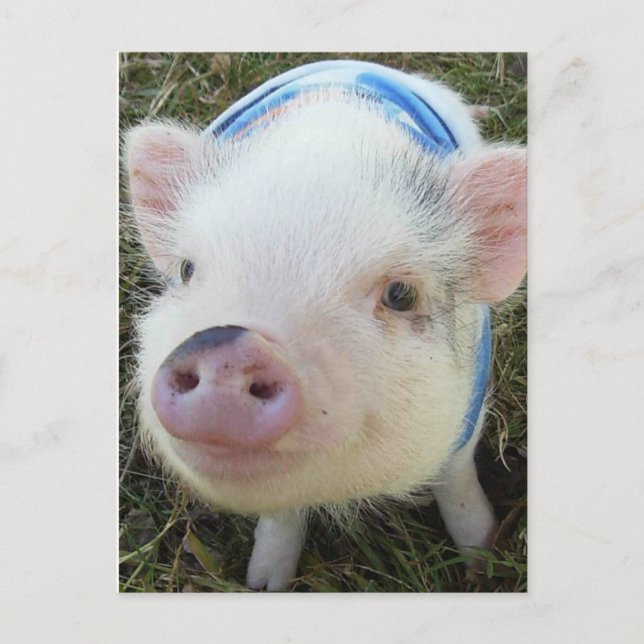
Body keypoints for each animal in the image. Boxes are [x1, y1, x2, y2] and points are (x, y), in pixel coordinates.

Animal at [124, 59, 527, 591]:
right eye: (188, 270)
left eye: (400, 294)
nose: (225, 345)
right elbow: (280, 517)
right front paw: (263, 585)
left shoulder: (466, 415)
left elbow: (457, 484)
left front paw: (483, 565)